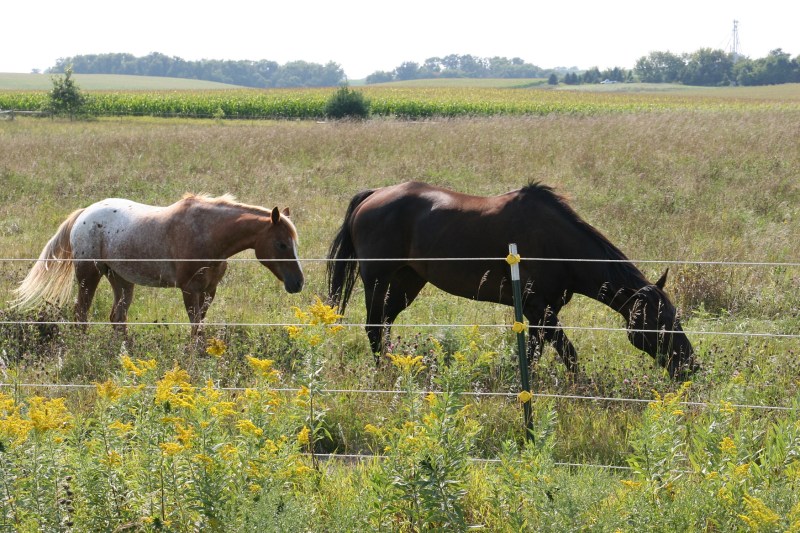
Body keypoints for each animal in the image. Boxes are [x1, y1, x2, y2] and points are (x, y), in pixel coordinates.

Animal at [13, 193, 304, 336]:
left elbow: (200, 326)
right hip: (88, 275)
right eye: (281, 244)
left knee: (117, 317)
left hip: (120, 278)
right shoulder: (189, 290)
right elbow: (195, 327)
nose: (298, 283)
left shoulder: (210, 290)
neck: (207, 233)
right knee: (81, 315)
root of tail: (84, 213)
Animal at [326, 181, 698, 380]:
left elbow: (535, 353)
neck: (559, 246)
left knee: (384, 326)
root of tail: (373, 195)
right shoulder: (540, 309)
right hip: (378, 280)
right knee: (374, 328)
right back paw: (385, 375)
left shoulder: (540, 314)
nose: (690, 366)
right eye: (660, 323)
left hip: (407, 282)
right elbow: (568, 354)